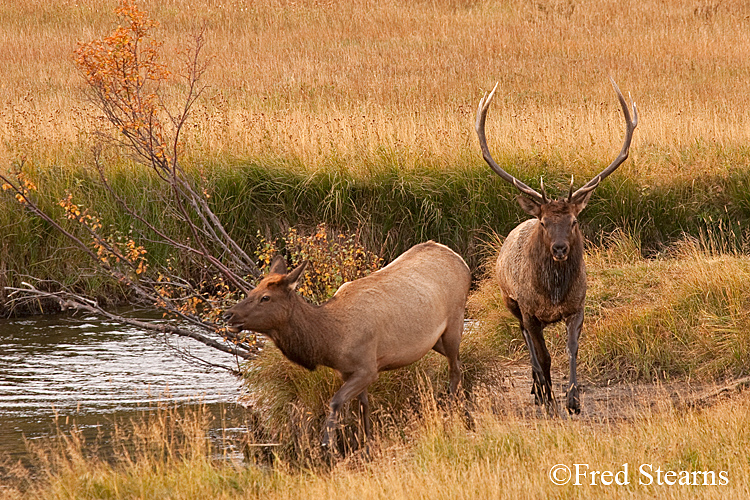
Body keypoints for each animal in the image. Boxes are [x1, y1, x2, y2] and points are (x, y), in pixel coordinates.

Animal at [222, 241, 471, 449]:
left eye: (265, 297)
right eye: (251, 291)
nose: (228, 315)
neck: (331, 341)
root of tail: (461, 260)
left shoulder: (368, 368)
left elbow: (336, 400)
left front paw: (327, 441)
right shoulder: (347, 371)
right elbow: (364, 406)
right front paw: (366, 441)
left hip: (455, 320)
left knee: (454, 369)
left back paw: (452, 412)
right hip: (435, 340)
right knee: (460, 362)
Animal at [475, 78, 638, 415]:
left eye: (574, 221)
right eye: (544, 223)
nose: (560, 248)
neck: (553, 294)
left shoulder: (578, 305)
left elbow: (572, 349)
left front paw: (573, 400)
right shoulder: (528, 308)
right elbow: (544, 354)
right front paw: (549, 397)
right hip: (510, 301)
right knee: (526, 340)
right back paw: (538, 388)